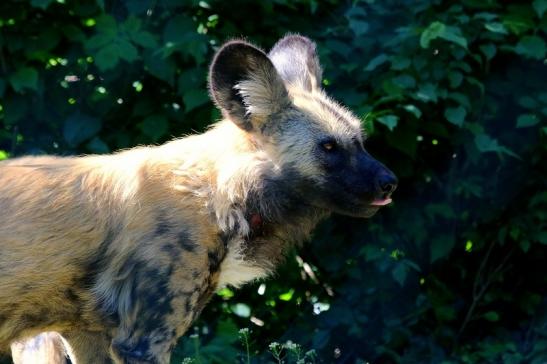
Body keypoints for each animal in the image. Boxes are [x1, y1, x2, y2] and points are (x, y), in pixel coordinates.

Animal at [0, 34, 394, 364]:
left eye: (361, 141)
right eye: (328, 147)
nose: (390, 182)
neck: (217, 195)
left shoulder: (88, 335)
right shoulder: (144, 341)